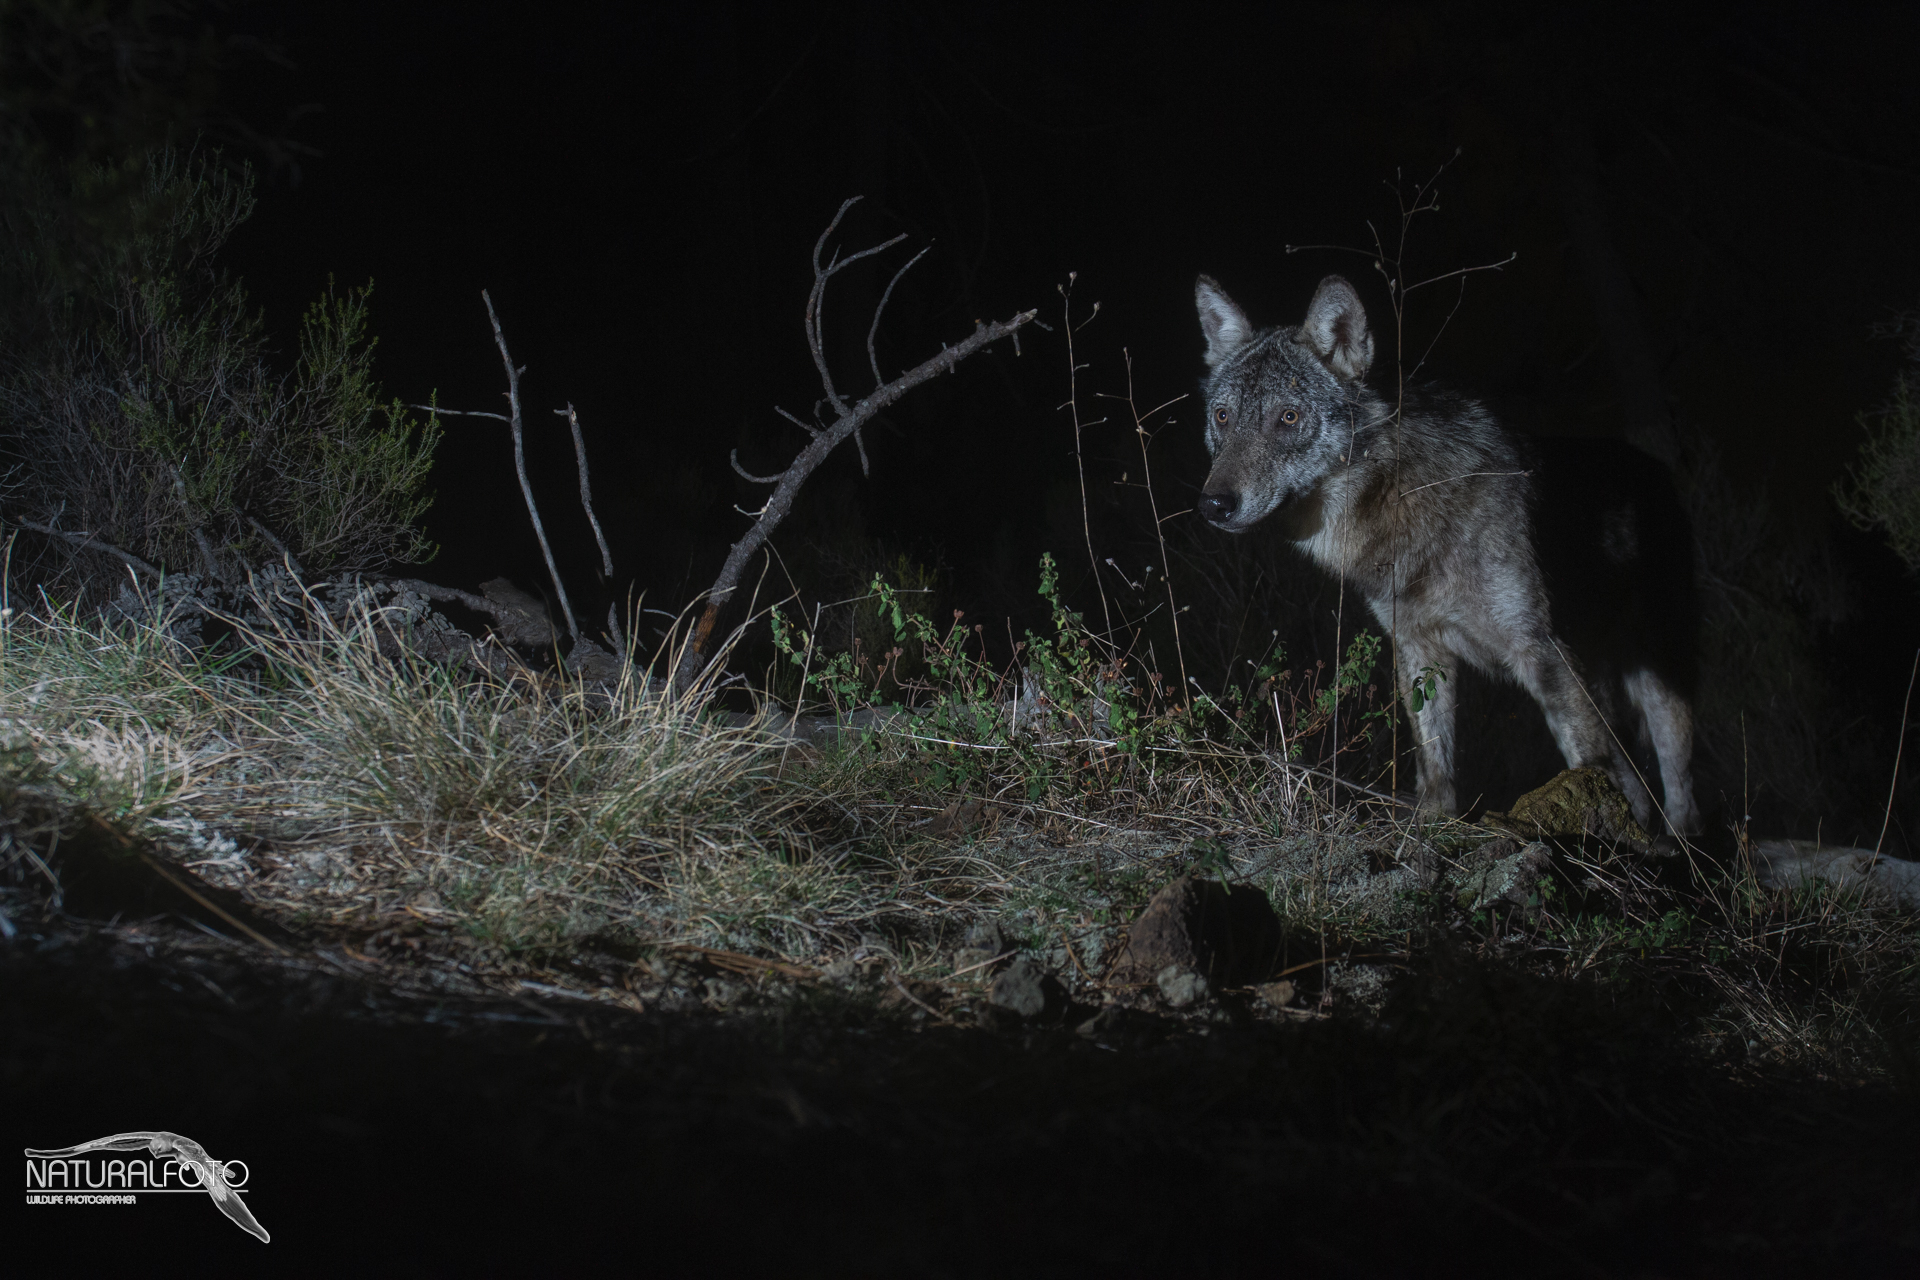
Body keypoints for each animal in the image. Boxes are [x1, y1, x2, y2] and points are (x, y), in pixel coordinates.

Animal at [1190, 272, 1704, 840]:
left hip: (1657, 682)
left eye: (1288, 417)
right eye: (1222, 417)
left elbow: (1586, 761)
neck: (1398, 499)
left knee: (1679, 786)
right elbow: (1434, 763)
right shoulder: (1420, 647)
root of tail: (1657, 471)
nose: (1214, 504)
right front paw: (1432, 829)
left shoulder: (1543, 653)